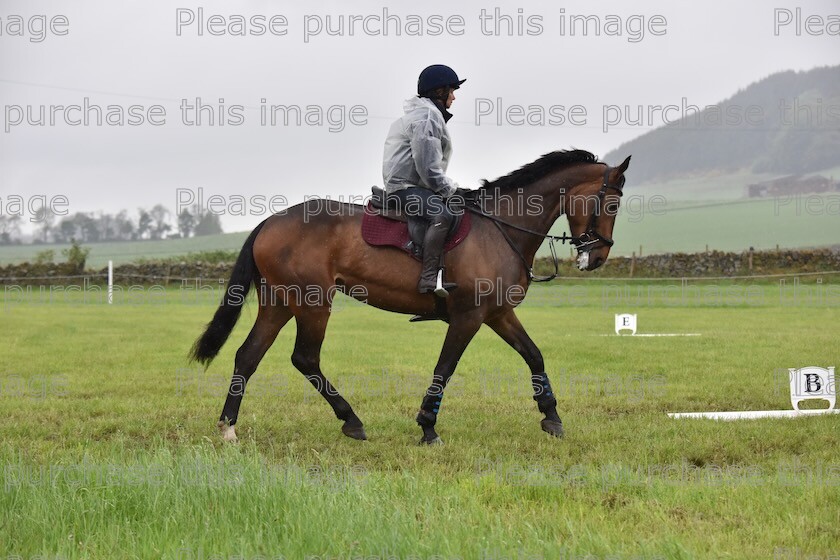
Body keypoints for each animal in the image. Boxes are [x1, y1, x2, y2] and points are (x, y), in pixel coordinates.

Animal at [189, 150, 632, 446]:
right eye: (611, 202)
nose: (598, 257)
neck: (502, 228)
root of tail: (269, 221)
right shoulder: (469, 317)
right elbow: (445, 369)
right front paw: (427, 426)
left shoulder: (498, 313)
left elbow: (534, 356)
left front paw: (552, 417)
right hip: (313, 302)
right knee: (305, 358)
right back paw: (351, 420)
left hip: (280, 302)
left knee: (248, 355)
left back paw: (228, 428)